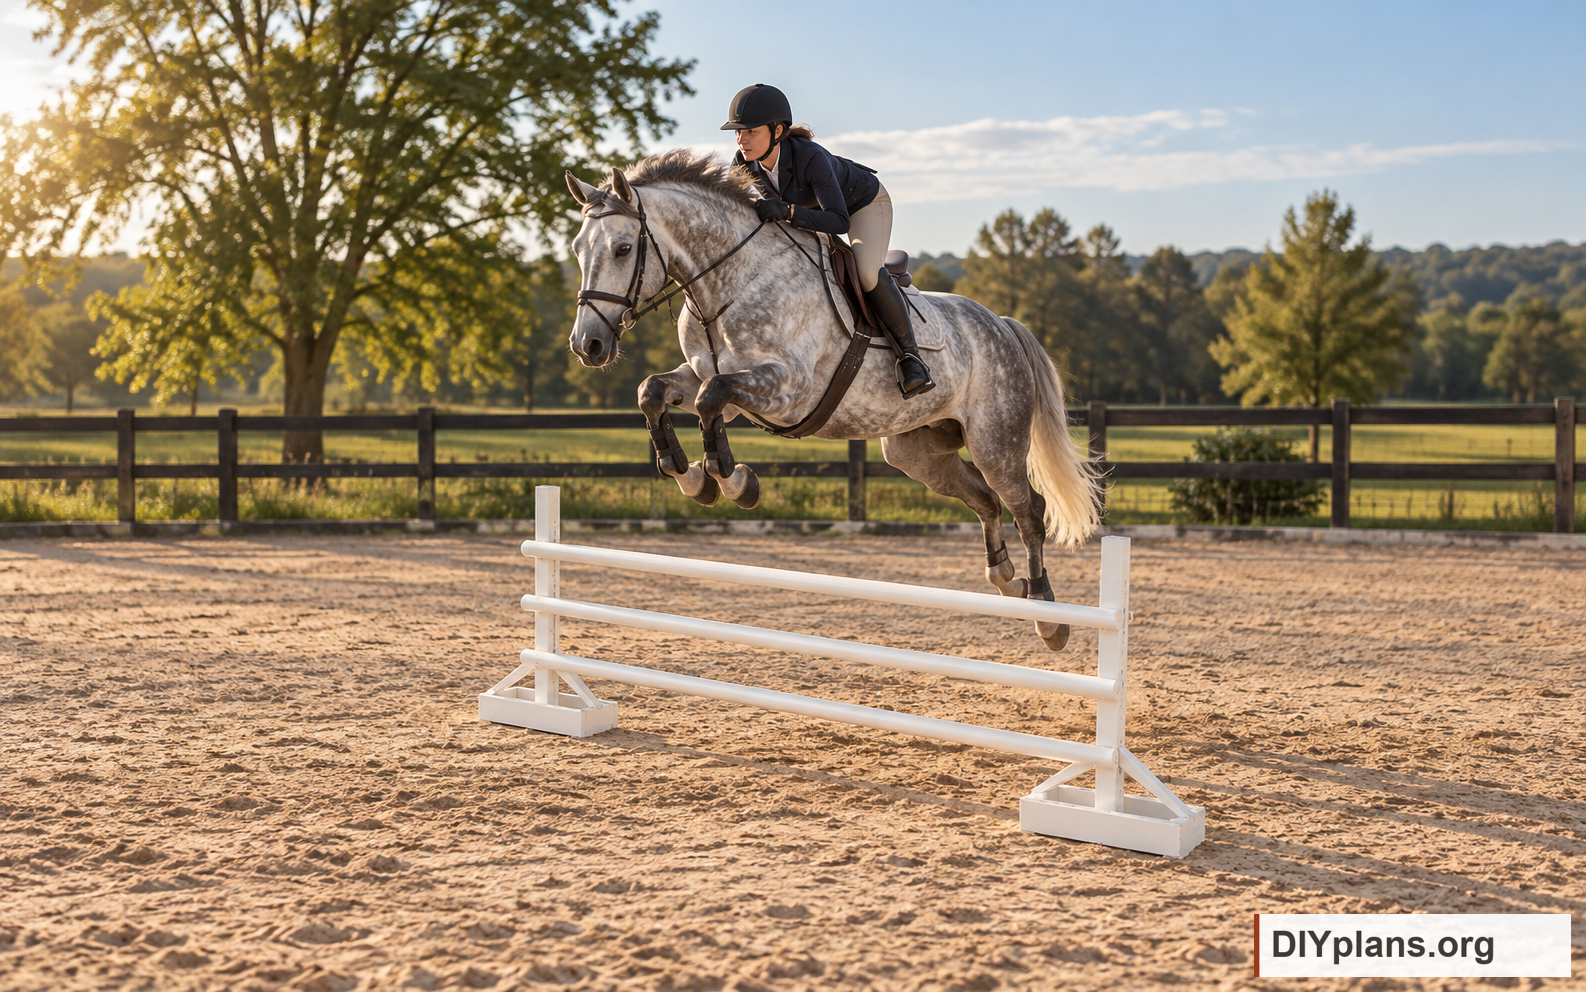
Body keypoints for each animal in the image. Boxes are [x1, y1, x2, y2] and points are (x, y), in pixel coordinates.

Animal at [564, 150, 1099, 651]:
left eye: (623, 248)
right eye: (576, 249)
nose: (588, 345)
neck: (731, 281)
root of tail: (1002, 324)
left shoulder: (786, 389)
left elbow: (710, 400)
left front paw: (734, 482)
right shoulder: (711, 377)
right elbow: (656, 392)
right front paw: (692, 477)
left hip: (995, 441)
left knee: (1028, 510)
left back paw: (1048, 615)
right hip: (917, 450)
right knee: (985, 500)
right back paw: (1006, 580)